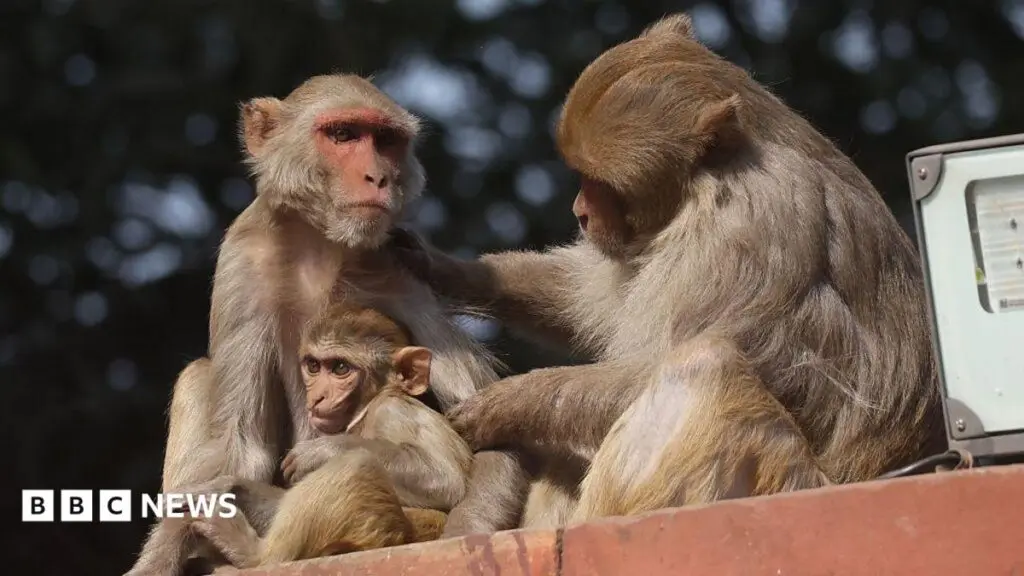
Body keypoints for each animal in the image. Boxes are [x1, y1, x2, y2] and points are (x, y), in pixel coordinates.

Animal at [126, 74, 525, 575]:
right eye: (343, 134)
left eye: (385, 140)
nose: (379, 176)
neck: (320, 243)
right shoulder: (242, 263)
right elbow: (238, 446)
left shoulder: (396, 273)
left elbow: (483, 423)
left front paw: (468, 534)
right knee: (199, 374)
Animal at [392, 12, 943, 529]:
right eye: (582, 179)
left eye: (602, 186)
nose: (580, 212)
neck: (716, 175)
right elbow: (590, 299)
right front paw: (438, 266)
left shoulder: (742, 233)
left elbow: (653, 363)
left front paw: (507, 403)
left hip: (788, 483)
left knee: (703, 365)